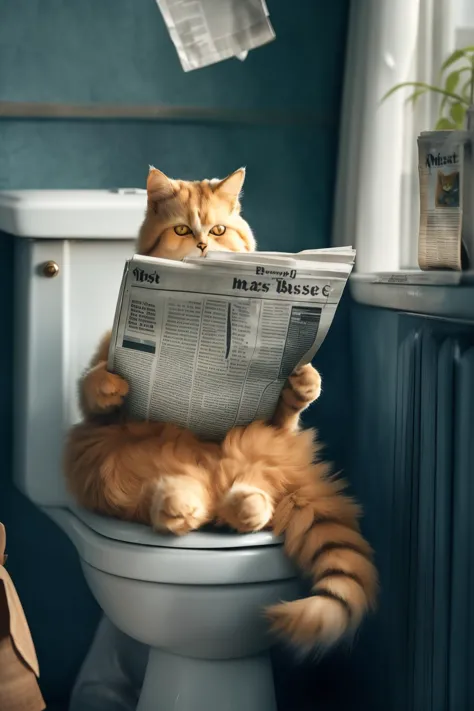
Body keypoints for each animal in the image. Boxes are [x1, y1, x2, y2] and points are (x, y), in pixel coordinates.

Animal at [66, 167, 378, 652]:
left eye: (216, 231)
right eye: (181, 230)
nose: (202, 248)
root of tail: (218, 468)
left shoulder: (275, 421)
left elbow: (288, 408)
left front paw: (304, 382)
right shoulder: (100, 407)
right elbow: (95, 387)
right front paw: (111, 385)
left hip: (255, 469)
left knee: (245, 509)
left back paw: (243, 504)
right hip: (113, 469)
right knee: (178, 507)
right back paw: (182, 507)